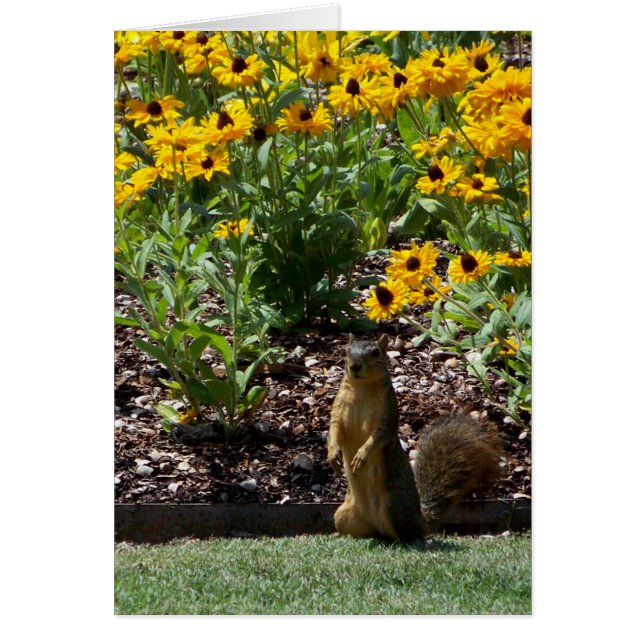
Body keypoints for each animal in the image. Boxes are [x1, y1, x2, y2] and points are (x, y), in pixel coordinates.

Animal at [327, 334, 503, 542]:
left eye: (375, 352)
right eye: (346, 351)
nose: (354, 366)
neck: (362, 388)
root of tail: (421, 520)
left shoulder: (387, 415)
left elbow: (378, 437)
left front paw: (362, 455)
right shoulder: (339, 409)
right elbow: (334, 430)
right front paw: (332, 454)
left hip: (394, 504)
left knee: (408, 535)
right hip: (343, 516)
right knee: (372, 533)